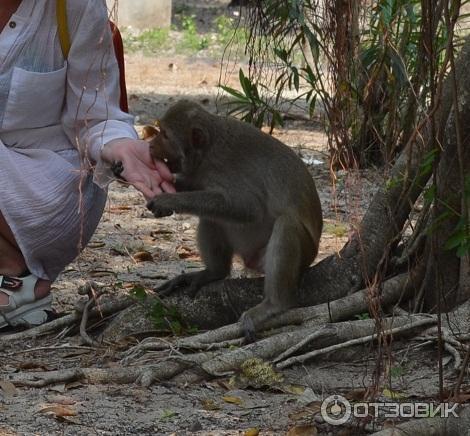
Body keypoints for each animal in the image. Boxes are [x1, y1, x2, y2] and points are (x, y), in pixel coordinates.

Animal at [145, 100, 324, 342]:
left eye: (164, 135)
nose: (150, 146)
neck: (206, 152)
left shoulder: (223, 167)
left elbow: (249, 207)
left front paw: (168, 200)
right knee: (211, 218)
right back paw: (214, 272)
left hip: (297, 253)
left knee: (286, 223)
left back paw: (275, 305)